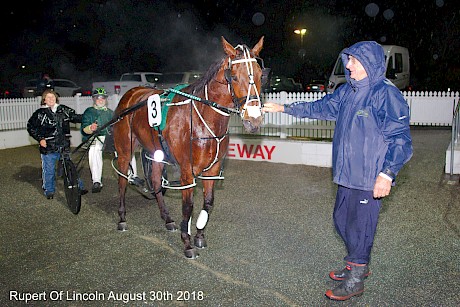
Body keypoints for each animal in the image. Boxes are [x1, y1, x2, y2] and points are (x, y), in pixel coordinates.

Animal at [111, 36, 266, 260]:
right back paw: (122, 218)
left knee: (156, 183)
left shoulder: (212, 169)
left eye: (261, 75)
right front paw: (187, 242)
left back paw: (167, 219)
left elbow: (208, 202)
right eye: (234, 77)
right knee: (123, 181)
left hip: (156, 153)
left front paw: (199, 235)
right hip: (124, 150)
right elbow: (188, 206)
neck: (203, 117)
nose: (254, 120)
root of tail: (131, 93)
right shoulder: (186, 170)